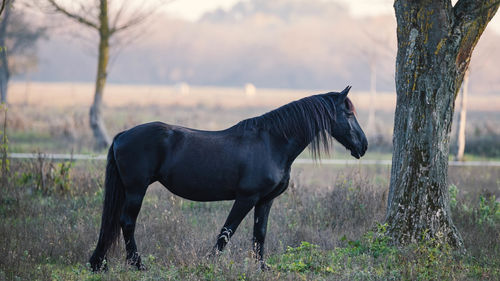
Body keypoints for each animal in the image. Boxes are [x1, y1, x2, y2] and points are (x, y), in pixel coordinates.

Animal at [89, 85, 368, 270]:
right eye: (349, 114)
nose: (363, 146)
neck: (272, 142)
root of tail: (122, 135)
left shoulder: (265, 200)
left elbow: (259, 234)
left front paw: (261, 268)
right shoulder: (246, 198)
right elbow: (226, 232)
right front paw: (207, 264)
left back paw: (99, 263)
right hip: (136, 189)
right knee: (127, 222)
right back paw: (136, 264)